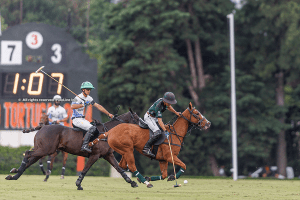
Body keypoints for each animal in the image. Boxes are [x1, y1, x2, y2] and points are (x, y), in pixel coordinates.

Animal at [5, 110, 139, 190]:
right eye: (137, 118)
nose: (143, 126)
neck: (107, 132)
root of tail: (43, 127)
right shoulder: (95, 155)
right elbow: (85, 170)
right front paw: (78, 184)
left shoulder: (108, 155)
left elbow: (119, 169)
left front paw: (132, 182)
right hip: (45, 149)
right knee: (28, 154)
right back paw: (16, 173)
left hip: (42, 149)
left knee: (30, 161)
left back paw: (14, 176)